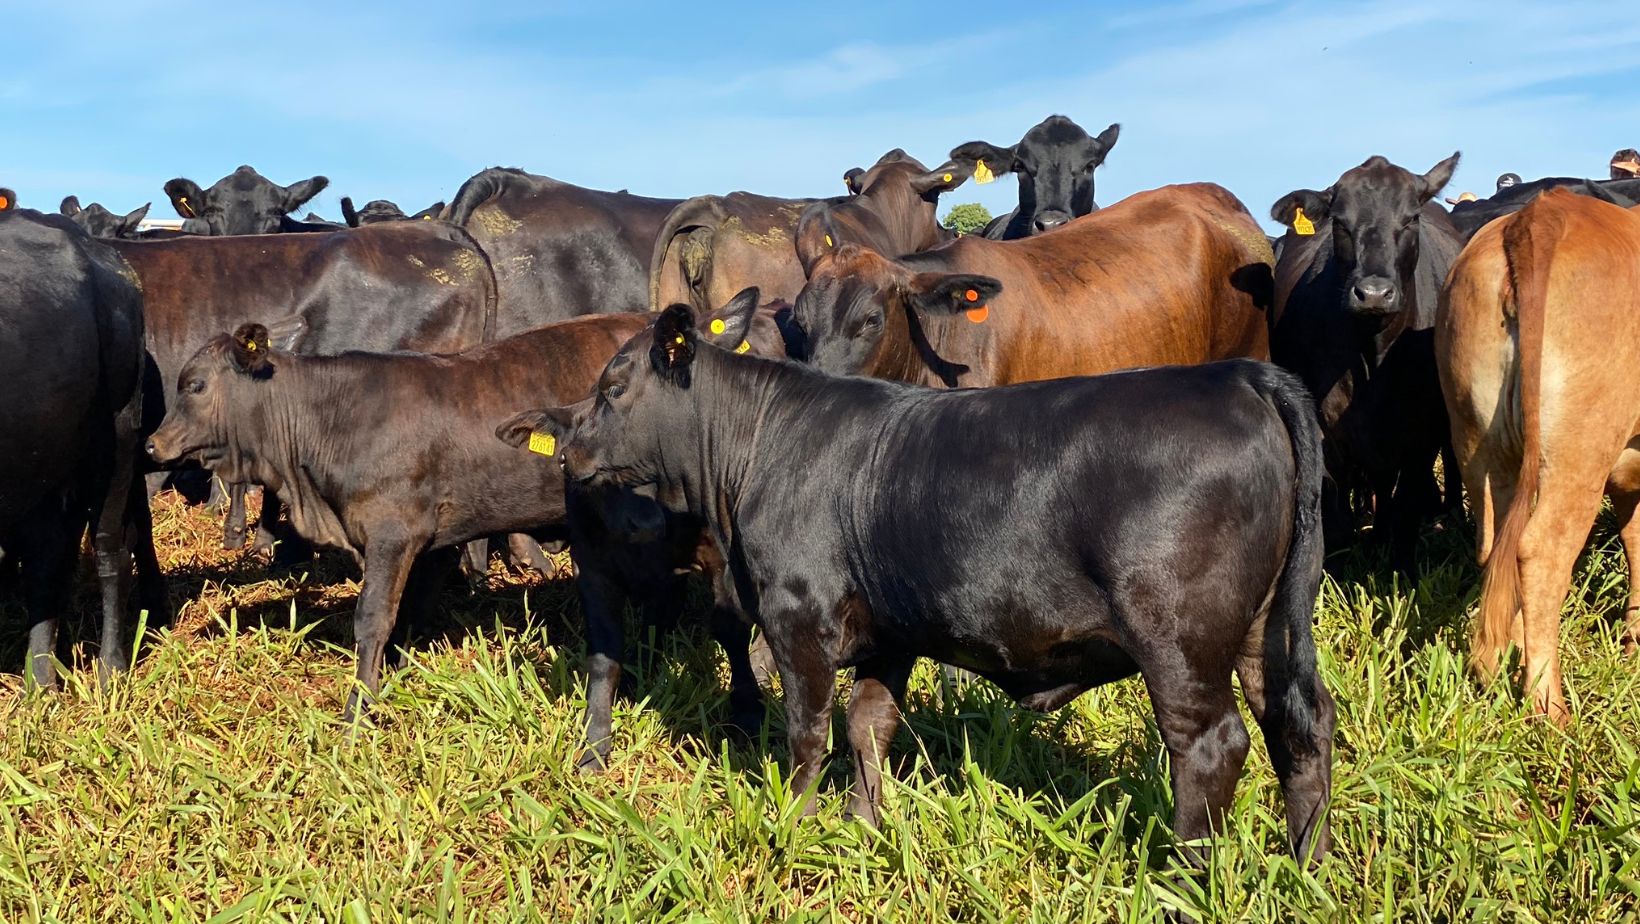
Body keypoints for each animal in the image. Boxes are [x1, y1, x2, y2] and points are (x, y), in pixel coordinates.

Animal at [0, 209, 166, 686]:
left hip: (117, 440)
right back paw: (40, 680)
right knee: (47, 564)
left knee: (112, 551)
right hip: (44, 461)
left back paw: (111, 668)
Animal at [143, 304, 774, 719]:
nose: (152, 444)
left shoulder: (391, 533)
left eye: (194, 384)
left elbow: (373, 619)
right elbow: (409, 615)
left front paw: (356, 712)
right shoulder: (429, 541)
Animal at [499, 306, 1335, 865]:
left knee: (1211, 746)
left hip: (1180, 639)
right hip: (1264, 630)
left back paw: (1183, 879)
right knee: (1301, 725)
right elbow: (869, 725)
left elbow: (806, 731)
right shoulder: (888, 632)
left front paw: (794, 825)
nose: (567, 448)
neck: (757, 444)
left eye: (615, 386)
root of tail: (1240, 375)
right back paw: (1306, 864)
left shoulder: (797, 617)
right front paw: (862, 827)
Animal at [1267, 154, 1464, 574]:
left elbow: (1406, 506)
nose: (1373, 293)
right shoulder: (1327, 431)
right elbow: (1338, 515)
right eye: (1340, 222)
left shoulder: (1421, 432)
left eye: (1411, 219)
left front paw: (1401, 571)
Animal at [1438, 189, 1640, 724]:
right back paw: (1547, 705)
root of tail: (1543, 213)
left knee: (1494, 546)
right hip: (1579, 451)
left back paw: (1498, 665)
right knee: (1541, 551)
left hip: (1477, 441)